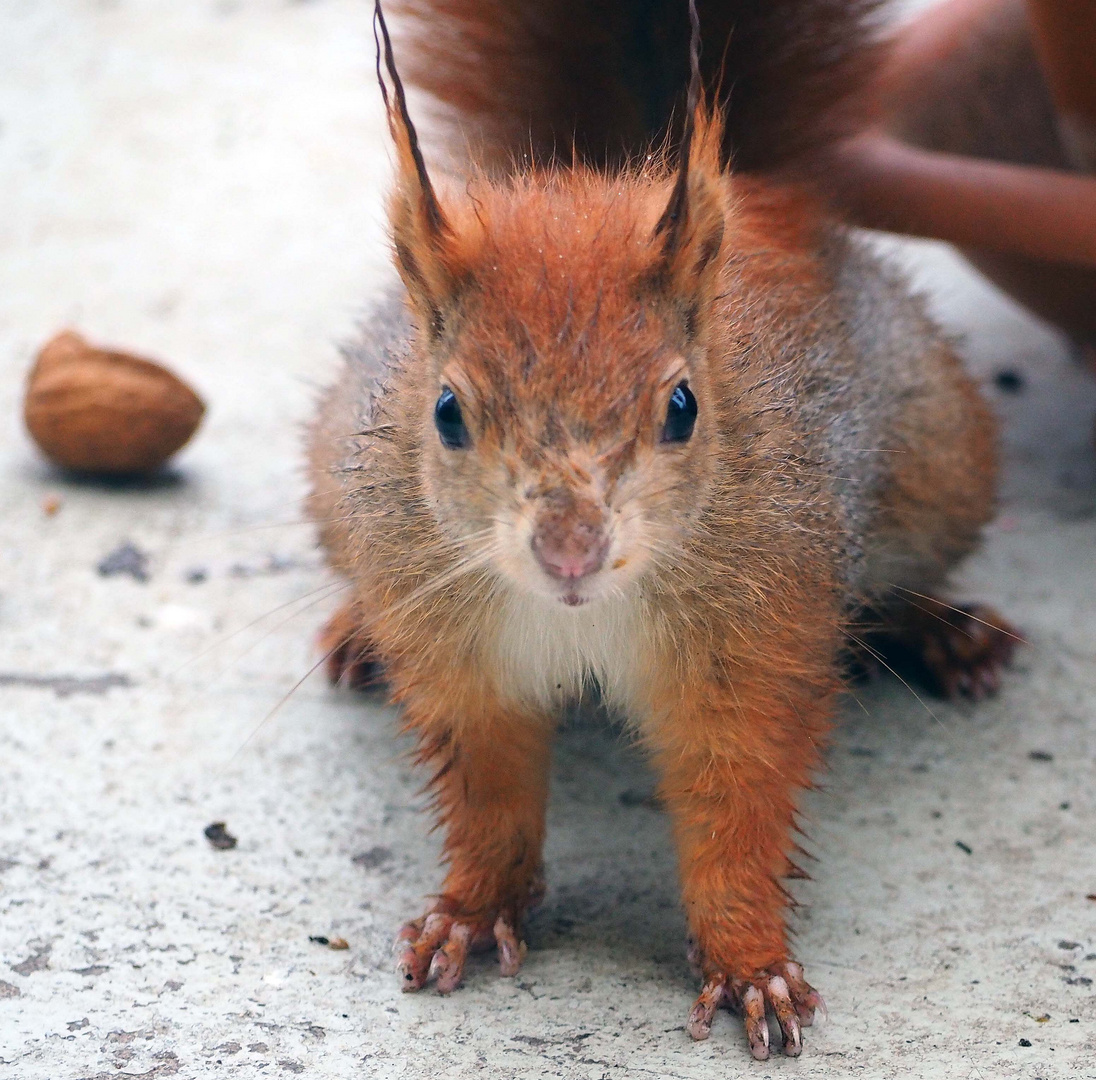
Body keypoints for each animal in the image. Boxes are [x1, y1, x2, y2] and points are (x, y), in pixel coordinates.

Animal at [304, 0, 1012, 1056]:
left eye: (683, 406)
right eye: (446, 413)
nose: (570, 550)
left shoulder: (755, 643)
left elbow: (739, 809)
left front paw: (751, 963)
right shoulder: (461, 657)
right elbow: (487, 795)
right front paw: (469, 912)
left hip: (940, 460)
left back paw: (943, 630)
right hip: (334, 473)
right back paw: (356, 633)